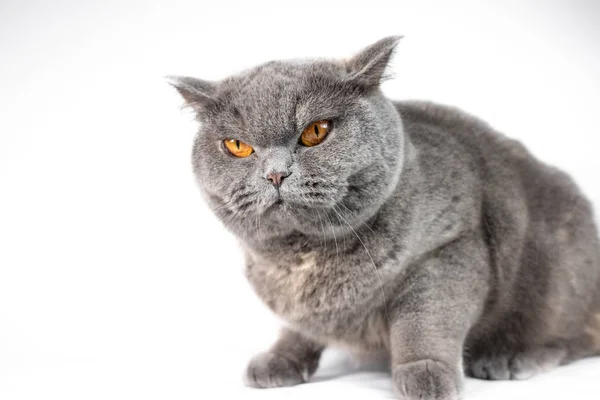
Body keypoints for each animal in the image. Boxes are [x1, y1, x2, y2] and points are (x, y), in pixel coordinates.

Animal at [168, 36, 600, 398]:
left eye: (316, 131)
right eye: (237, 146)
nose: (275, 174)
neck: (304, 255)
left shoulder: (450, 245)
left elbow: (424, 318)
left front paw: (424, 372)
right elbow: (297, 327)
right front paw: (281, 359)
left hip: (553, 266)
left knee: (574, 335)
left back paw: (509, 358)